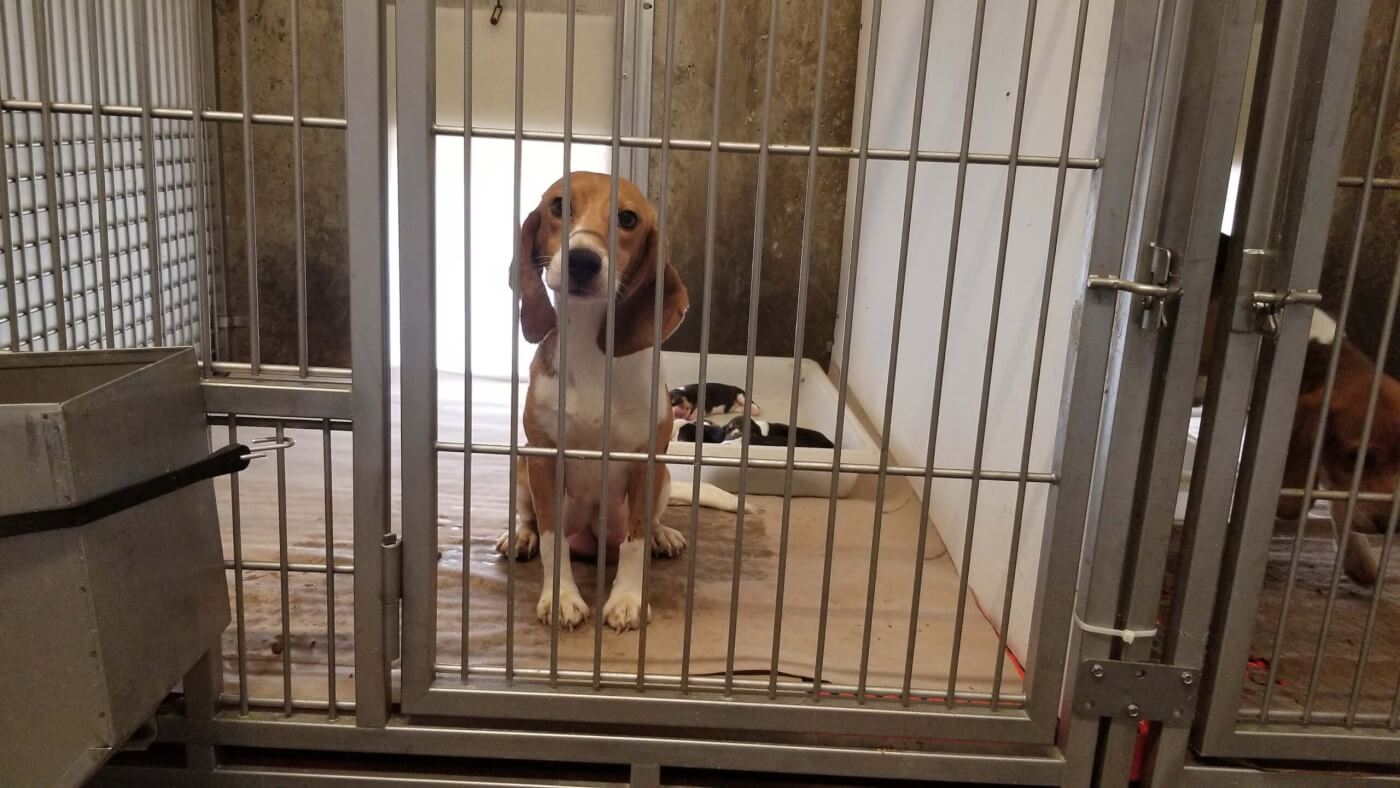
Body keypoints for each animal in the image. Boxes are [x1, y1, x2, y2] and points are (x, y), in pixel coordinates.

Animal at [506, 169, 691, 632]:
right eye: (558, 206)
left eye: (627, 218)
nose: (582, 260)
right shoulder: (544, 458)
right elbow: (552, 539)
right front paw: (561, 598)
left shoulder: (646, 462)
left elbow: (635, 542)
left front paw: (627, 599)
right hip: (522, 467)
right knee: (530, 518)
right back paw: (519, 535)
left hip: (663, 478)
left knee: (650, 523)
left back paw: (663, 535)